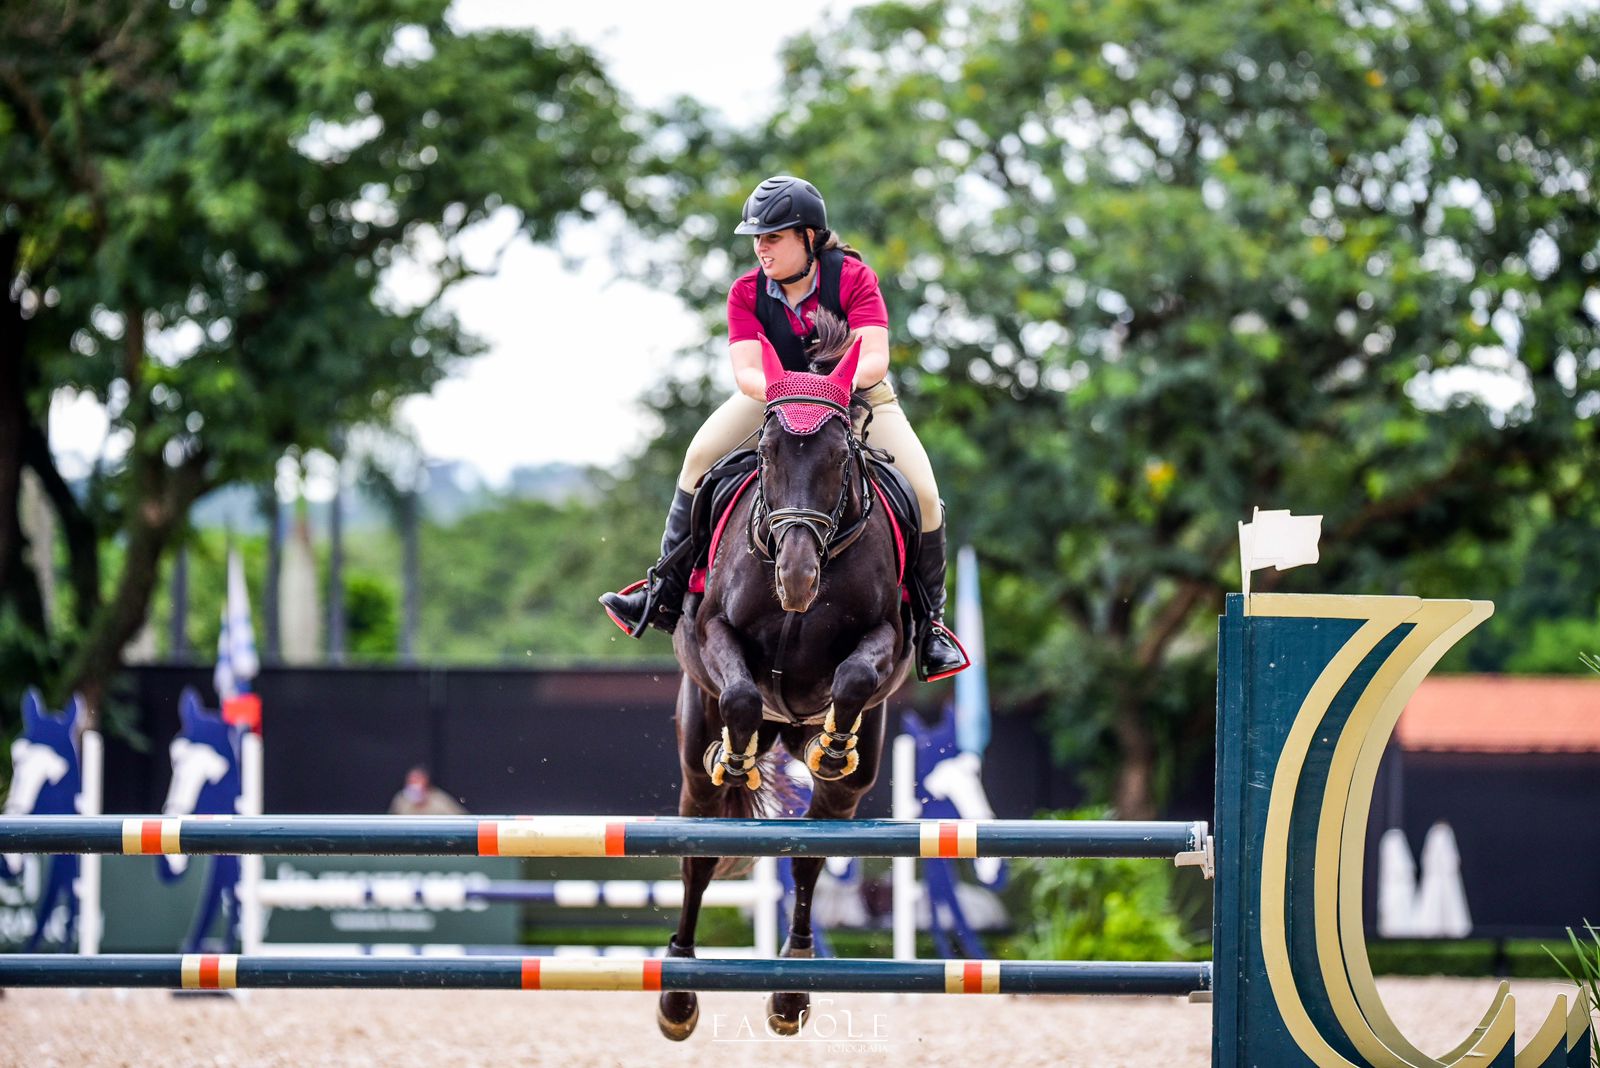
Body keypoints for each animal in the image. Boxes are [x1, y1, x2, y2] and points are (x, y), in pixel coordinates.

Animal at [660, 310, 914, 1040]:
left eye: (838, 457)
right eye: (768, 453)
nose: (797, 581)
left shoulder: (886, 637)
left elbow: (853, 678)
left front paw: (833, 741)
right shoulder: (714, 629)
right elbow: (744, 692)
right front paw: (737, 756)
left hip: (847, 791)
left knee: (807, 856)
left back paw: (792, 989)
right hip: (695, 761)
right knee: (698, 853)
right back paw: (678, 993)